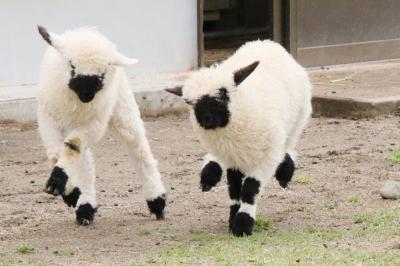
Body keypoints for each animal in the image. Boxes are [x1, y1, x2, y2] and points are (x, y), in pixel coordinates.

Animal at [35, 26, 165, 224]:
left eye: (102, 73)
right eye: (72, 66)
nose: (87, 94)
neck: (76, 103)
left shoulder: (95, 123)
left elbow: (72, 147)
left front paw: (58, 181)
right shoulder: (47, 119)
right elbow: (56, 153)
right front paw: (68, 191)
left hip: (122, 110)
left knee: (139, 149)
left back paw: (157, 201)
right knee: (86, 163)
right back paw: (85, 208)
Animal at [166, 40, 312, 237]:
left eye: (223, 94)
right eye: (191, 103)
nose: (206, 121)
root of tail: (265, 42)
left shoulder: (267, 155)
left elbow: (250, 188)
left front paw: (243, 224)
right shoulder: (232, 157)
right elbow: (234, 188)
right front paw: (233, 217)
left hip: (297, 120)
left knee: (289, 146)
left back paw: (284, 174)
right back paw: (209, 175)